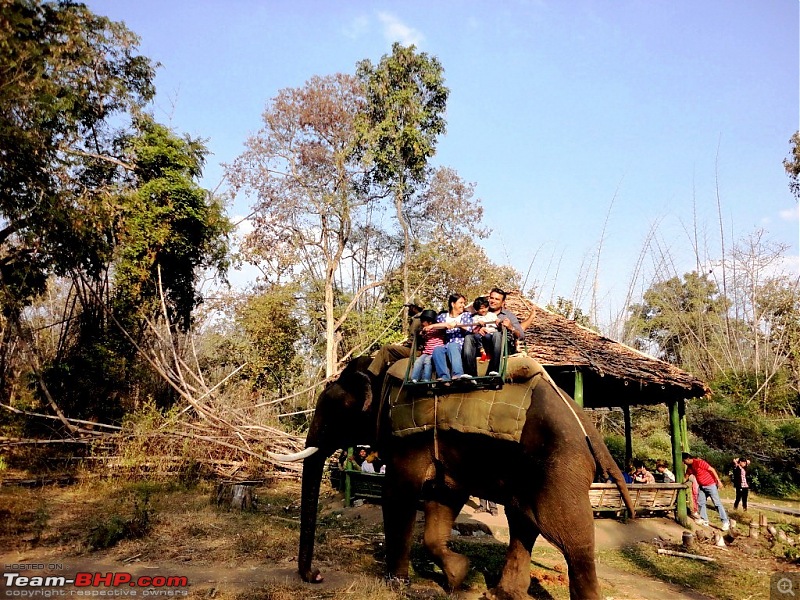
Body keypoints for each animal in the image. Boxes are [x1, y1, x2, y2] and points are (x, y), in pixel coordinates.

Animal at [288, 356, 632, 600]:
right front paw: (458, 577)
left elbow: (398, 494)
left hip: (558, 467)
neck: (380, 367)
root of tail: (591, 433)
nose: (316, 575)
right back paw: (499, 595)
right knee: (523, 521)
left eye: (329, 412)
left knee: (567, 536)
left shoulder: (410, 438)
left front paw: (397, 583)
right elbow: (443, 498)